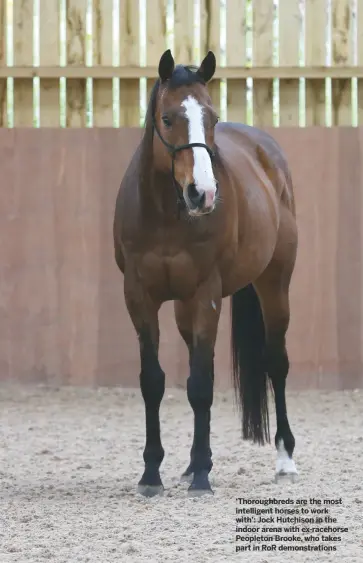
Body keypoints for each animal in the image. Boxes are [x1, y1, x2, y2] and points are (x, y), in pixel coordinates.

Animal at [114, 49, 298, 498]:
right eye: (167, 119)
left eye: (211, 118)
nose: (203, 193)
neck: (165, 215)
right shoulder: (139, 297)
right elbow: (153, 381)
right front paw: (152, 473)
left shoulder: (206, 294)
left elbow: (199, 385)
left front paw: (200, 474)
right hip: (184, 309)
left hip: (274, 284)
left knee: (276, 362)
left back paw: (285, 457)